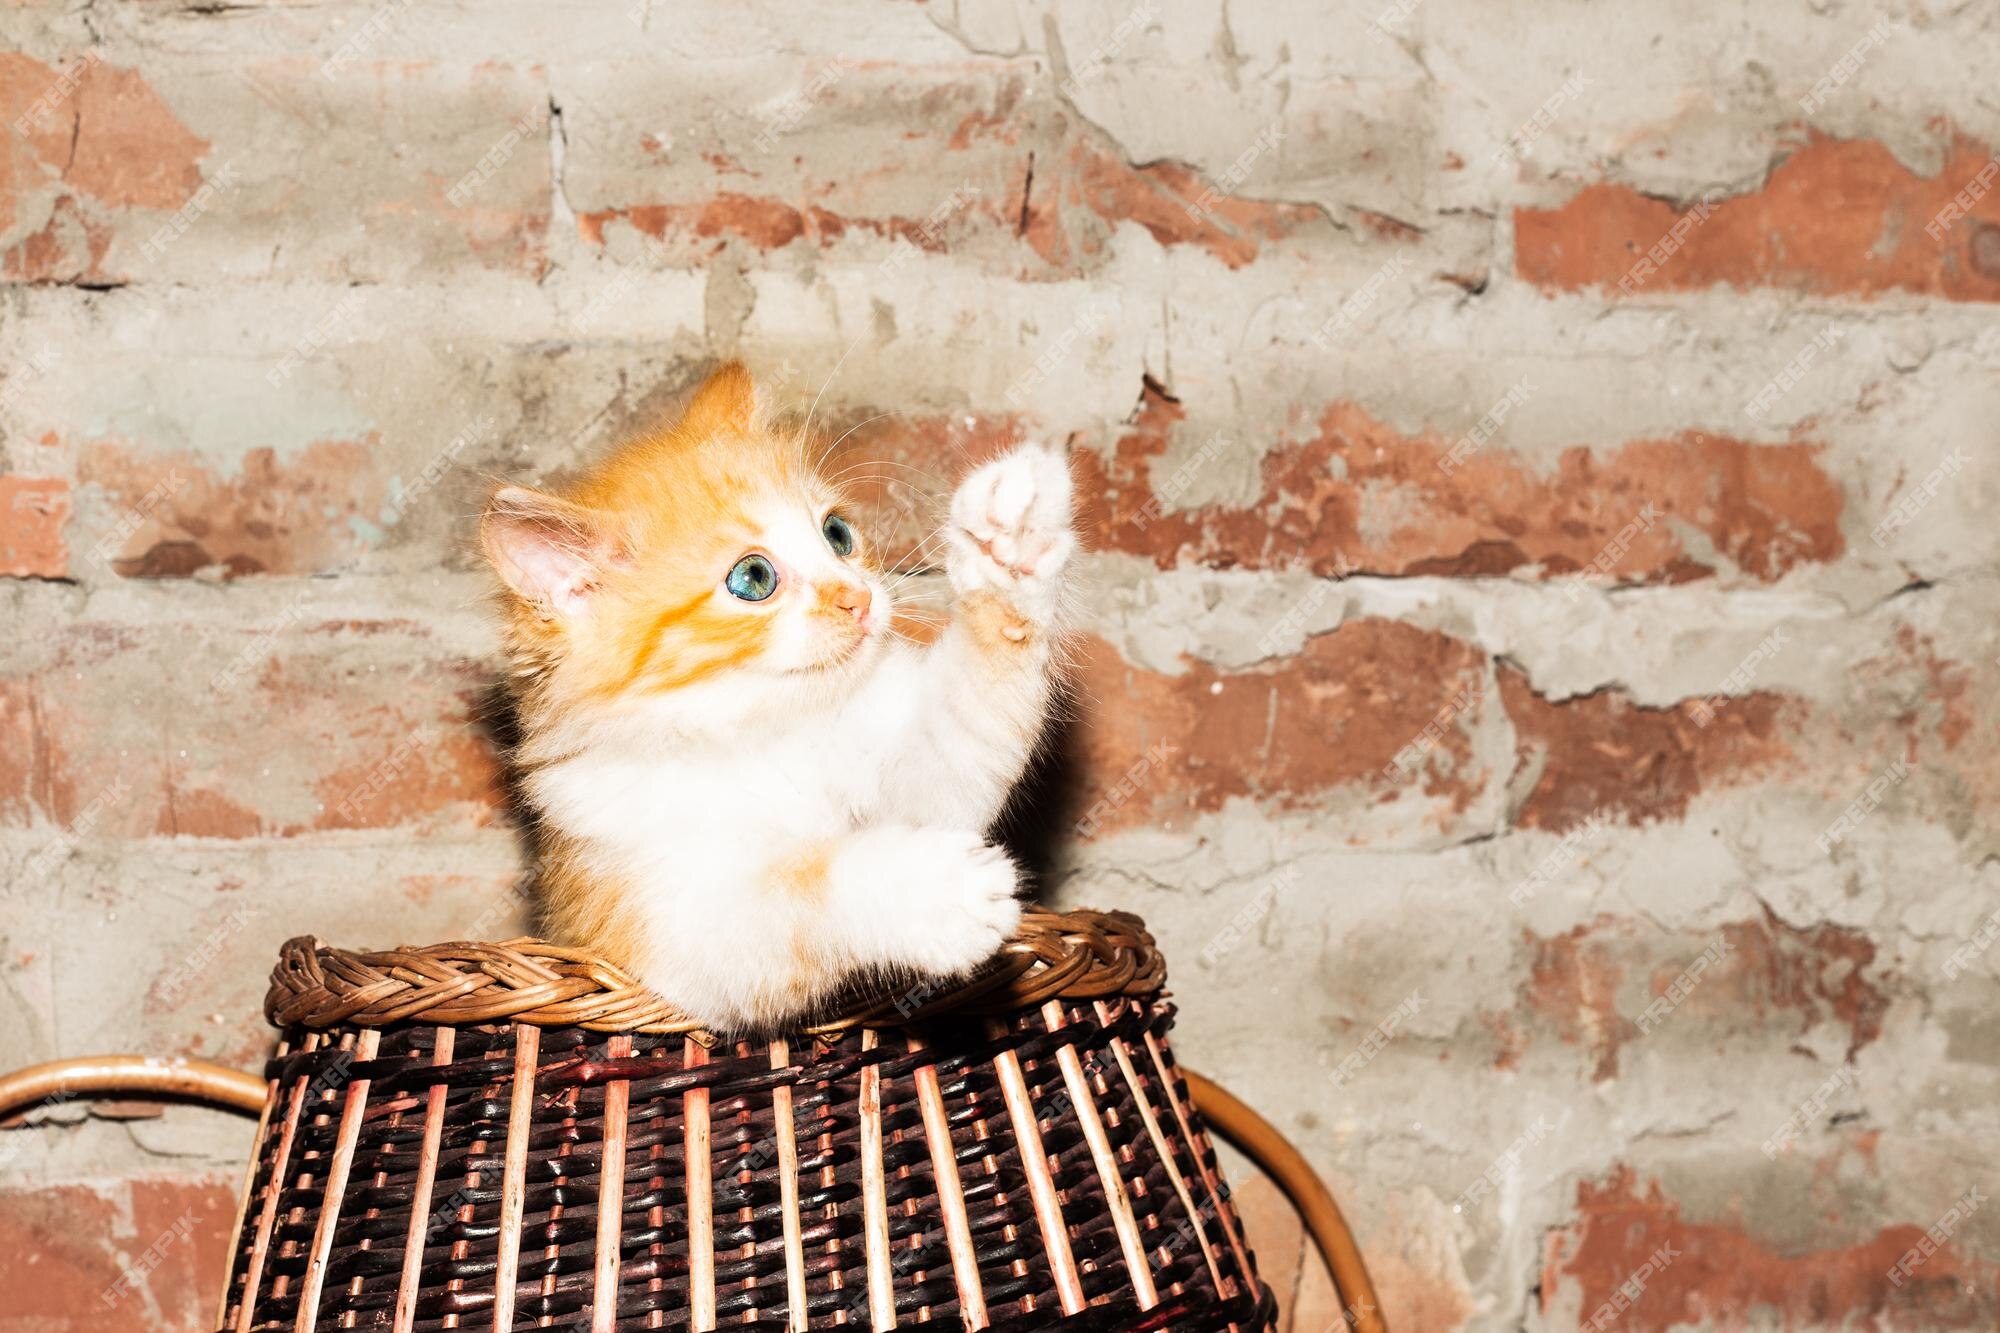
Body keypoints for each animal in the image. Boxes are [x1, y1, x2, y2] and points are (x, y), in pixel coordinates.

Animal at [482, 364, 1072, 1024]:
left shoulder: (919, 779)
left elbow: (960, 739)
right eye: (753, 578)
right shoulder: (657, 931)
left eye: (837, 534)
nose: (860, 599)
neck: (762, 729)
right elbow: (792, 892)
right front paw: (927, 890)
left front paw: (1008, 548)